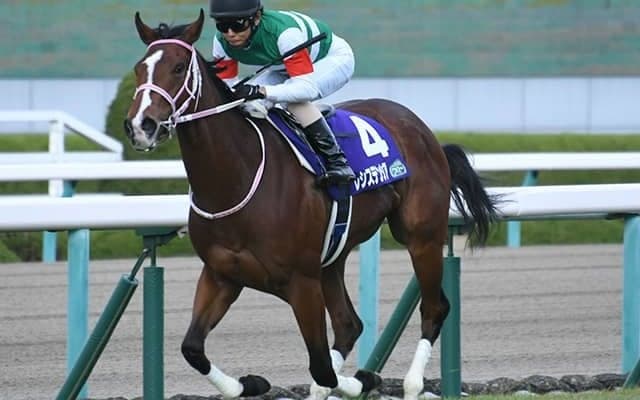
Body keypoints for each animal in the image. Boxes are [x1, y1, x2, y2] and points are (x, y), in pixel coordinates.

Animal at [124, 10, 499, 400]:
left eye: (179, 67)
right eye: (139, 68)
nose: (140, 125)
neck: (236, 178)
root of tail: (424, 131)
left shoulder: (301, 282)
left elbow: (321, 366)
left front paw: (366, 379)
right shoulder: (221, 275)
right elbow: (192, 348)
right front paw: (251, 382)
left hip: (420, 236)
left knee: (433, 308)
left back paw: (411, 385)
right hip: (332, 257)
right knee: (349, 325)